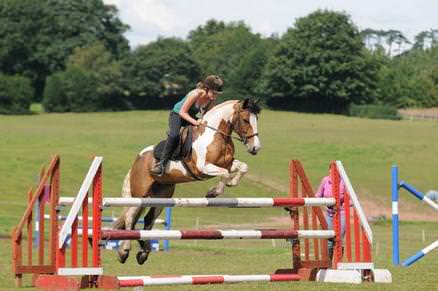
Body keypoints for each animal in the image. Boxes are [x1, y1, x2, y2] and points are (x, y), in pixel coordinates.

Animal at [113, 99, 262, 266]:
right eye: (245, 120)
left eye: (257, 119)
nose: (255, 148)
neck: (215, 135)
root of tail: (137, 160)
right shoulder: (203, 168)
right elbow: (224, 173)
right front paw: (213, 192)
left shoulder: (228, 163)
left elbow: (243, 167)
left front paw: (231, 183)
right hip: (139, 195)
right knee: (130, 218)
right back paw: (124, 252)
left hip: (162, 196)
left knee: (148, 220)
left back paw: (143, 253)